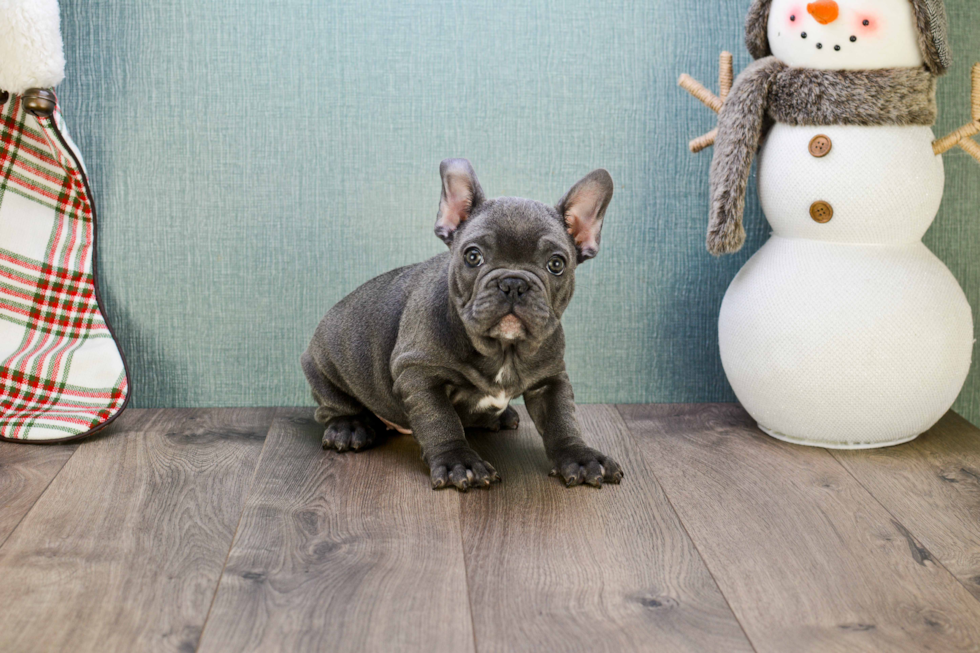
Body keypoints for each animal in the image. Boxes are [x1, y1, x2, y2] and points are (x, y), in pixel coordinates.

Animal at [302, 160, 624, 492]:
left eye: (557, 264)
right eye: (473, 256)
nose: (513, 283)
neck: (504, 349)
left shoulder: (551, 378)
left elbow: (562, 419)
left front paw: (580, 456)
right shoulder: (419, 374)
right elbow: (440, 420)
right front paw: (459, 461)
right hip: (321, 363)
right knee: (331, 406)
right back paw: (349, 427)